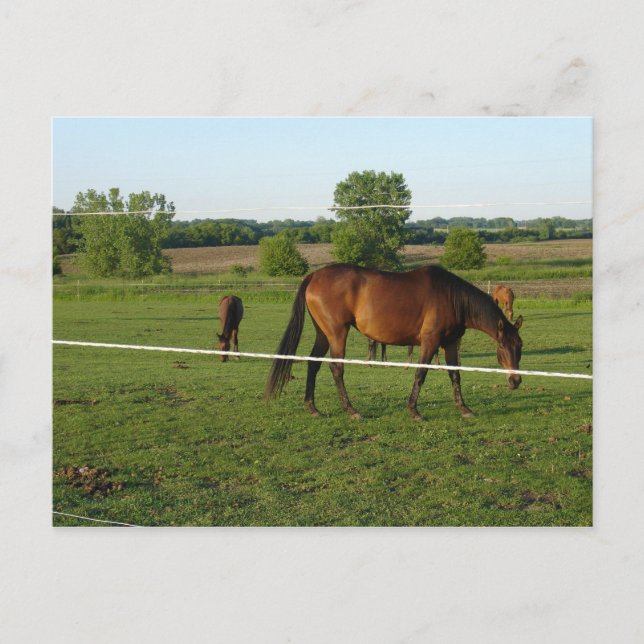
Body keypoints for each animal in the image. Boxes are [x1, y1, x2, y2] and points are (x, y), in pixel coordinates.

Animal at [264, 264, 523, 421]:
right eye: (502, 347)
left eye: (519, 347)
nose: (516, 381)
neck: (452, 297)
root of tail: (315, 276)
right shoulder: (429, 341)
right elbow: (420, 373)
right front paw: (414, 410)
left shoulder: (450, 343)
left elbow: (455, 374)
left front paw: (464, 408)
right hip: (337, 333)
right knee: (336, 368)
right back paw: (351, 410)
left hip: (323, 334)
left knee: (313, 364)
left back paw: (312, 407)